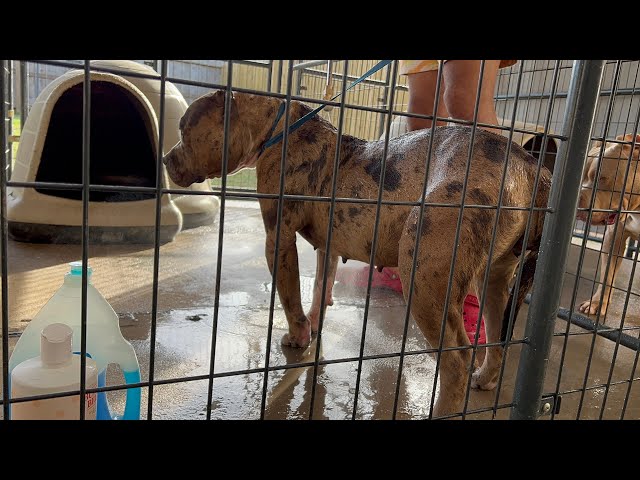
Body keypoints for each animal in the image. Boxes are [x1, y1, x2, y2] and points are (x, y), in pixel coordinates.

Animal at [164, 91, 552, 420]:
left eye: (183, 128)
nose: (166, 158)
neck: (276, 128)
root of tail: (529, 167)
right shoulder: (328, 247)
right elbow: (319, 287)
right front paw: (314, 325)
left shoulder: (278, 239)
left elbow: (290, 296)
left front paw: (298, 336)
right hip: (494, 281)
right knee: (497, 333)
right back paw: (485, 377)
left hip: (424, 276)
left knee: (456, 360)